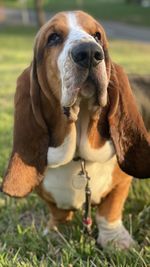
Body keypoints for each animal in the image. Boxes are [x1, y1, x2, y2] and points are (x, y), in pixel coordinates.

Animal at [2, 10, 150, 249]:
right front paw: (56, 231)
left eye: (97, 35)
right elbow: (57, 211)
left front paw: (116, 240)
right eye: (53, 37)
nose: (89, 52)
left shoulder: (121, 183)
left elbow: (109, 210)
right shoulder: (46, 192)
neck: (78, 156)